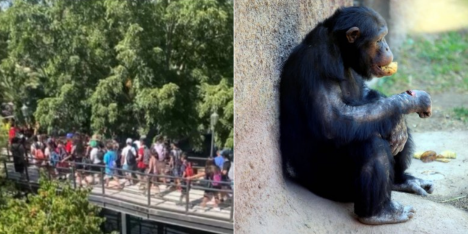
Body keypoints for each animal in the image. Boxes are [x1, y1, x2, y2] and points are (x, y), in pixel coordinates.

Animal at [278, 6, 436, 224]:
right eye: (379, 39)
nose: (387, 48)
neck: (343, 54)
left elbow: (366, 95)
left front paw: (400, 123)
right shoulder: (321, 61)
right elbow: (334, 119)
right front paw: (414, 101)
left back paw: (404, 181)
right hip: (330, 183)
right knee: (370, 143)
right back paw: (379, 213)